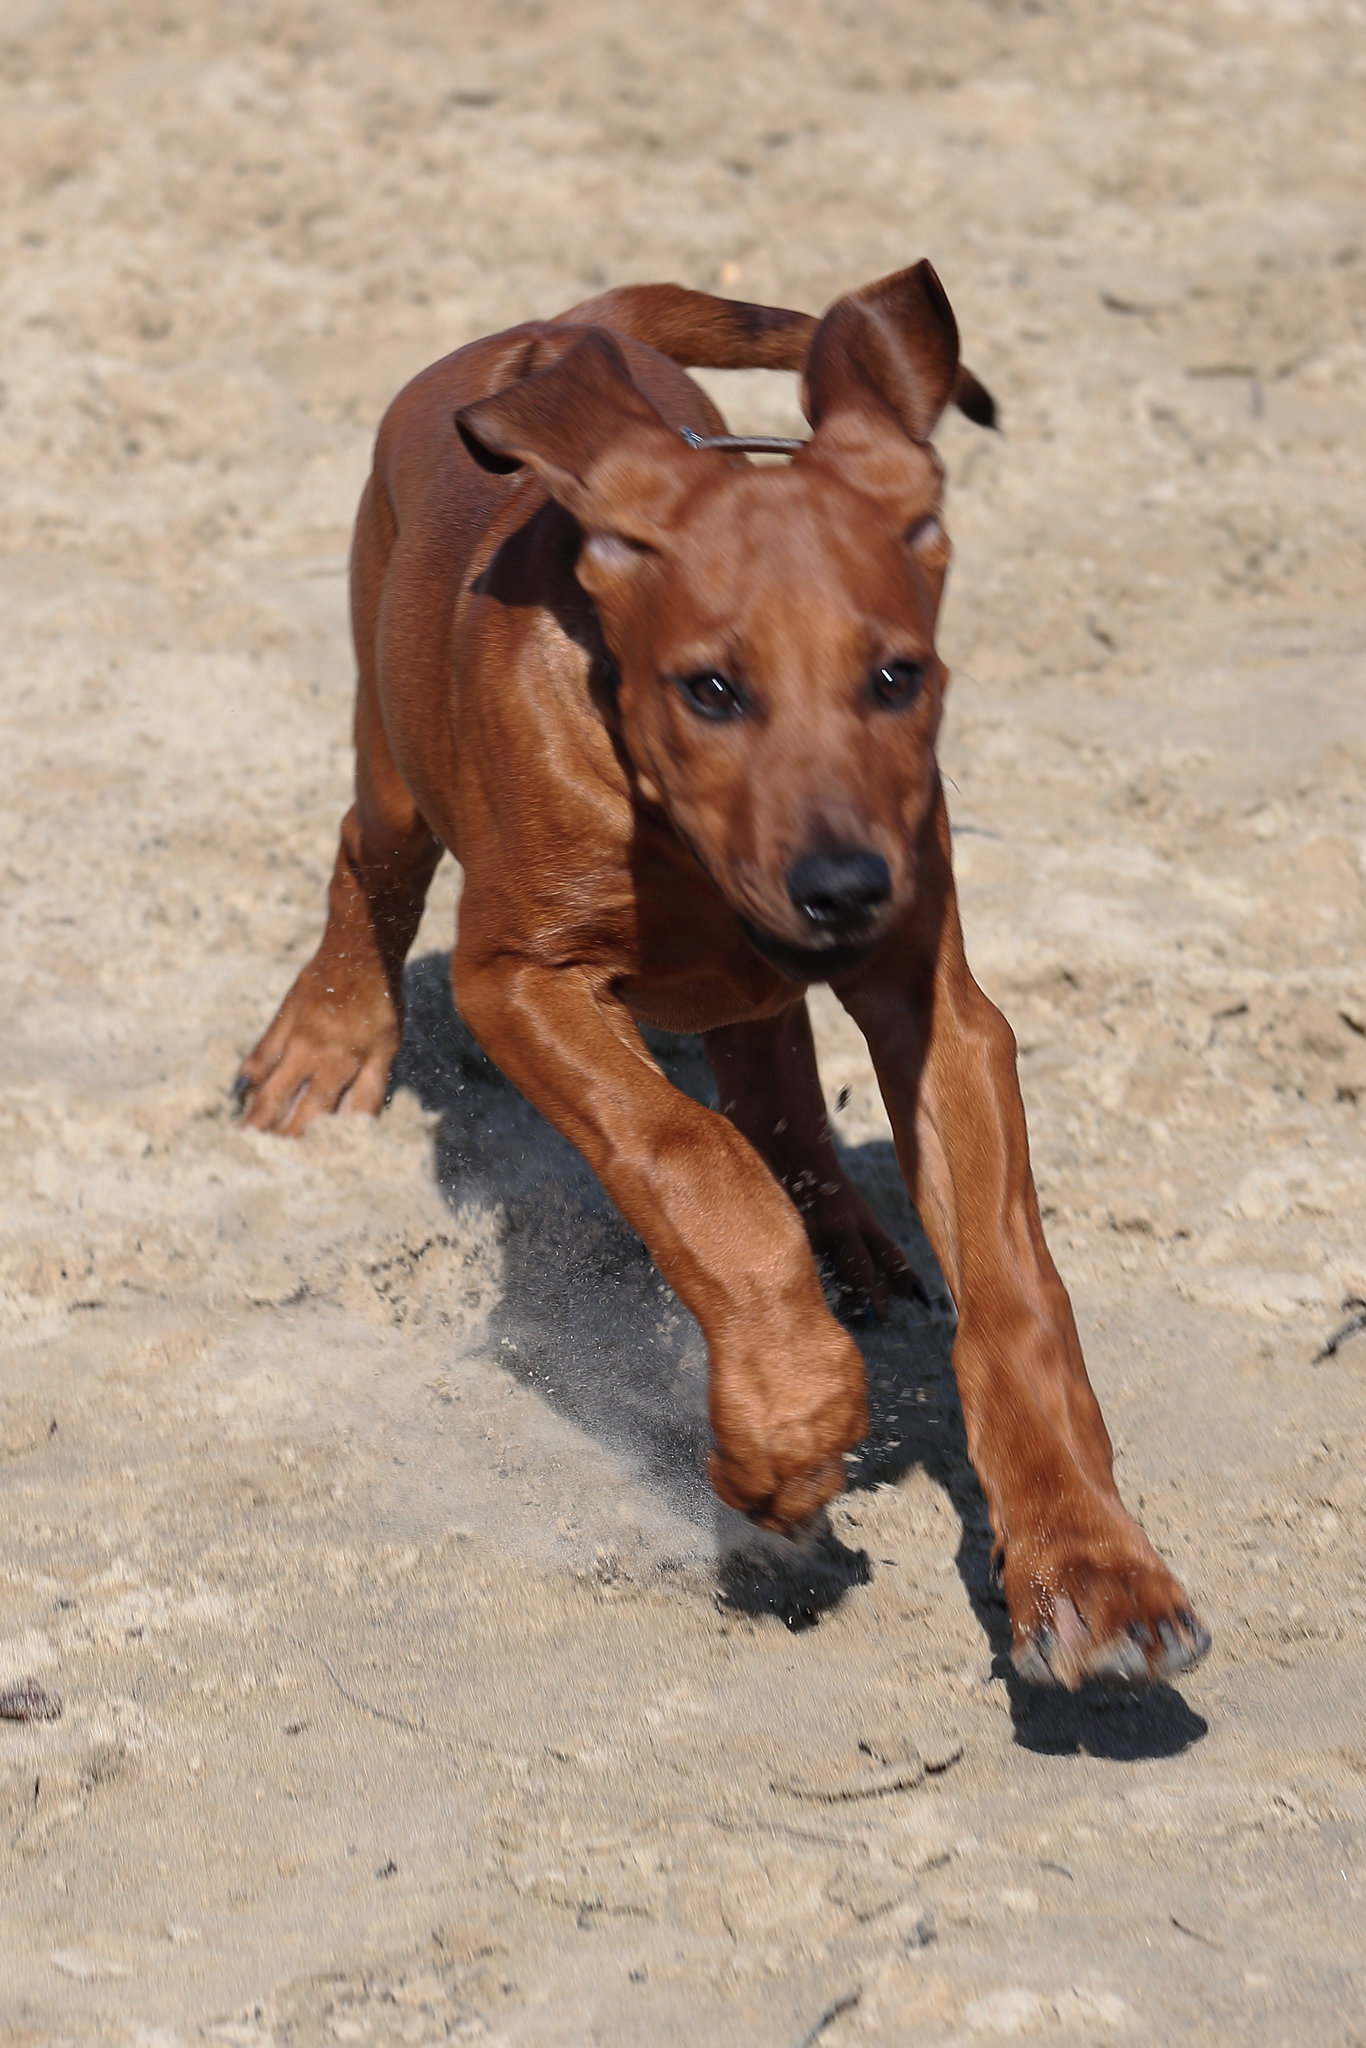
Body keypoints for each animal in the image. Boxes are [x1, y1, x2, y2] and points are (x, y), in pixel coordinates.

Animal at [235, 264, 1204, 1687]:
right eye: (710, 689)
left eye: (896, 676)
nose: (845, 886)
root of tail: (569, 325)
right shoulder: (516, 977)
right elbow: (695, 1162)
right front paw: (788, 1420)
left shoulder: (938, 1007)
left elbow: (1014, 1290)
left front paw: (1089, 1565)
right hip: (394, 749)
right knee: (372, 857)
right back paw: (323, 1039)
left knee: (767, 1046)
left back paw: (844, 1226)